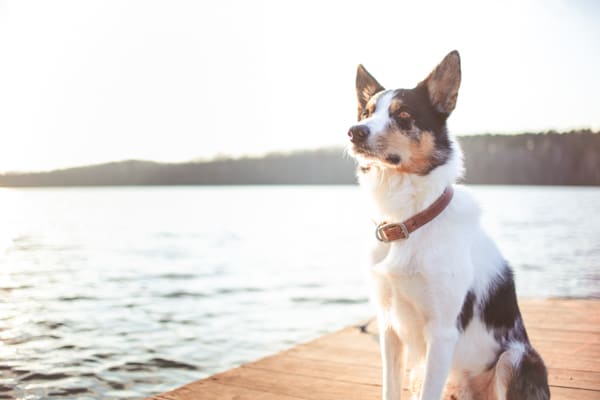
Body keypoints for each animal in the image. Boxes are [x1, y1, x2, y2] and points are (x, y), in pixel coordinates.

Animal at [346, 51, 548, 398]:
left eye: (403, 115)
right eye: (366, 112)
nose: (355, 131)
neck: (408, 222)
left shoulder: (441, 333)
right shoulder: (389, 329)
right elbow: (390, 388)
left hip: (515, 357)